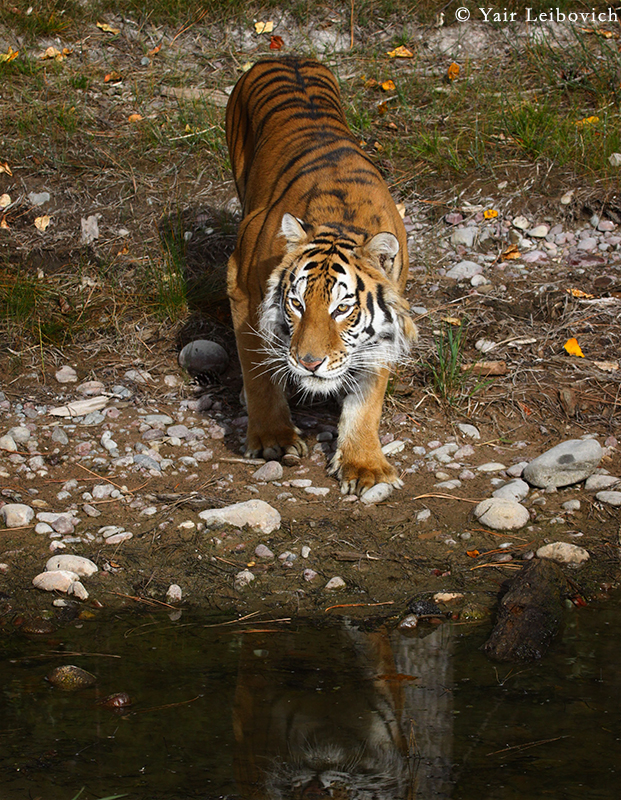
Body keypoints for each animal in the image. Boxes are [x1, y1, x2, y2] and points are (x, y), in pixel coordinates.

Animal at [224, 57, 416, 494]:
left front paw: (364, 464)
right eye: (296, 304)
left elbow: (368, 398)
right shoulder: (241, 289)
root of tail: (284, 55)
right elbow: (258, 370)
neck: (340, 221)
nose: (309, 363)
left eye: (342, 309)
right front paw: (273, 440)